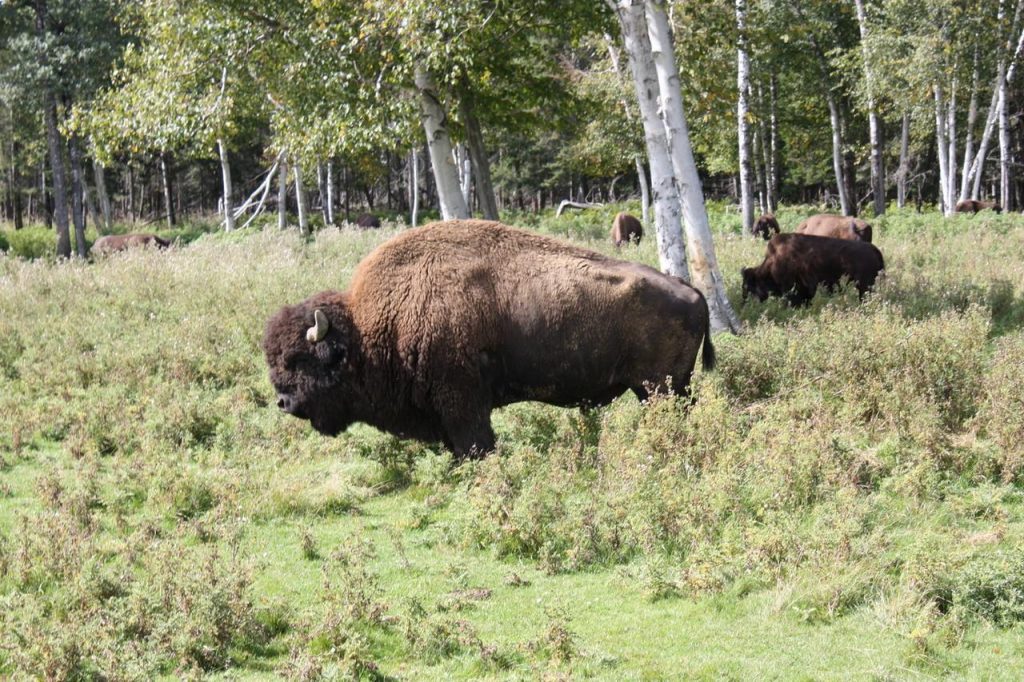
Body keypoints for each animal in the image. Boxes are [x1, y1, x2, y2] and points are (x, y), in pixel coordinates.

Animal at [263, 220, 715, 459]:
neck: (370, 325)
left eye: (301, 359)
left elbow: (475, 443)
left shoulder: (463, 402)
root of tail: (691, 291)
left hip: (660, 388)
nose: (283, 403)